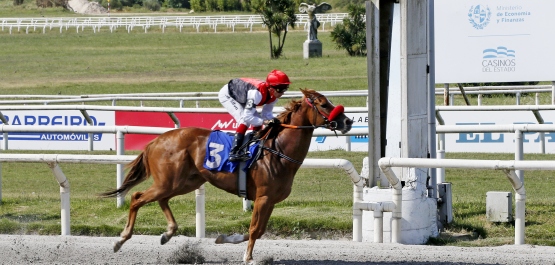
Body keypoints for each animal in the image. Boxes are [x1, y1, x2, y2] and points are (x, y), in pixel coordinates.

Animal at [101, 87, 352, 262]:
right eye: (323, 104)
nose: (348, 121)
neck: (277, 150)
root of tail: (156, 141)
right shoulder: (263, 197)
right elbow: (255, 229)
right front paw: (248, 258)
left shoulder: (270, 200)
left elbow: (258, 230)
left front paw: (224, 239)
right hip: (170, 181)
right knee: (137, 198)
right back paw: (121, 239)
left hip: (185, 181)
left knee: (161, 199)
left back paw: (168, 233)